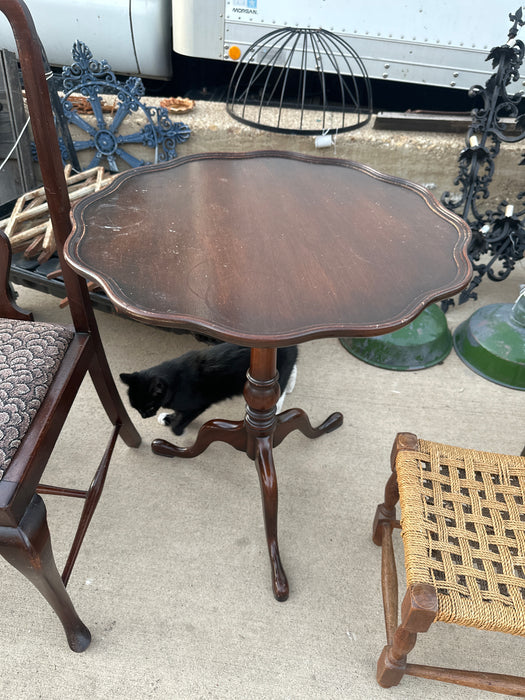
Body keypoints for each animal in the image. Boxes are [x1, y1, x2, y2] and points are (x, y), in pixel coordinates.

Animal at [120, 342, 296, 434]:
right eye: (136, 408)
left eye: (148, 407)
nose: (143, 416)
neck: (176, 382)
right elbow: (178, 412)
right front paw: (168, 418)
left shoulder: (198, 405)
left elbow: (182, 418)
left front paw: (177, 429)